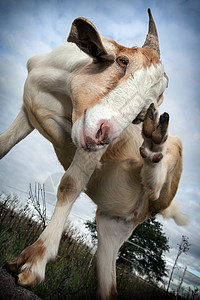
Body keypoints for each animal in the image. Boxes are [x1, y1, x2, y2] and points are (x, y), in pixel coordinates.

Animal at [0, 9, 188, 300]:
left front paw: (34, 262)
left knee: (158, 190)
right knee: (109, 289)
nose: (104, 133)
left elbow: (70, 184)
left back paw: (154, 141)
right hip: (111, 227)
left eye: (148, 105)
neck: (60, 87)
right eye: (122, 61)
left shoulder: (90, 148)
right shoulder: (27, 113)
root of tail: (138, 214)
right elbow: (3, 145)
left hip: (170, 168)